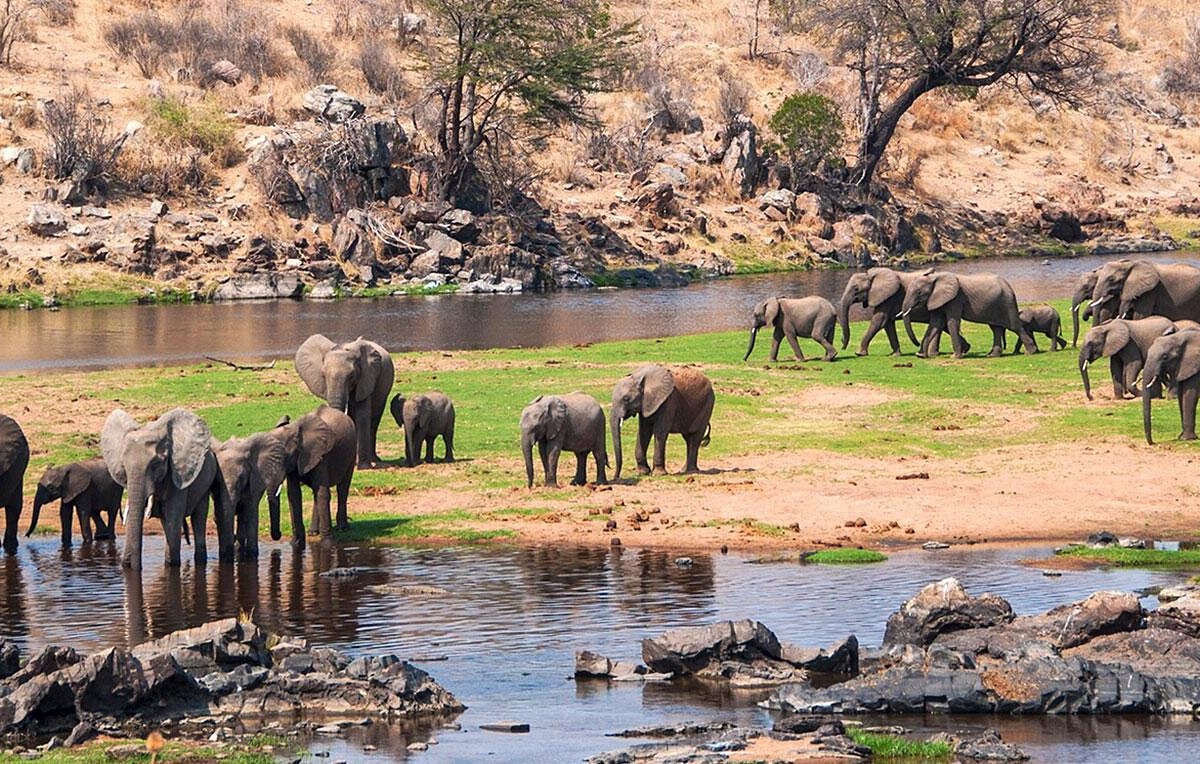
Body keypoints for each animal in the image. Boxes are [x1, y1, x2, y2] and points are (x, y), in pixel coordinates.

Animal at [101, 408, 217, 570]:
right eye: (124, 465)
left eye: (156, 464)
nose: (128, 564)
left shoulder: (177, 473)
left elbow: (173, 517)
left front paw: (172, 565)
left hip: (206, 481)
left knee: (198, 518)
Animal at [212, 432, 286, 562]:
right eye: (218, 479)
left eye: (242, 477)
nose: (280, 533)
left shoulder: (254, 480)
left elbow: (251, 513)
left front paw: (251, 555)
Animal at [267, 405, 356, 549]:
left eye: (285, 456)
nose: (279, 535)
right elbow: (294, 495)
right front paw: (295, 545)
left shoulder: (320, 455)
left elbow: (322, 494)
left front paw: (327, 545)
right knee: (316, 492)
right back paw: (313, 532)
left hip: (351, 451)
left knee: (342, 488)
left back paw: (342, 528)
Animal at [295, 334, 395, 469]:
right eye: (323, 375)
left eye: (351, 376)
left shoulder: (367, 378)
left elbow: (362, 417)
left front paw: (363, 467)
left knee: (374, 420)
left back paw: (375, 459)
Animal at [899, 271, 1038, 357]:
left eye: (918, 292)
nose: (917, 346)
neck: (935, 277)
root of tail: (1009, 286)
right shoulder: (937, 298)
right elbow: (935, 324)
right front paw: (921, 355)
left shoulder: (955, 298)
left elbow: (952, 322)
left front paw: (955, 357)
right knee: (996, 329)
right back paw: (992, 355)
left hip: (1007, 303)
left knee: (1014, 326)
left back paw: (1031, 352)